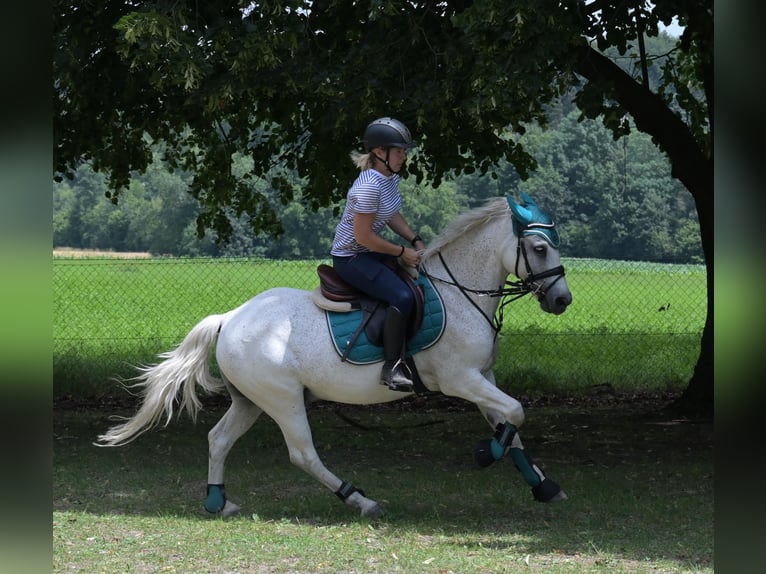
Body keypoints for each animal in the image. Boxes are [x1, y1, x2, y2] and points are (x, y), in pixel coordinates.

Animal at [99, 195, 572, 520]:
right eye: (539, 248)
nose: (562, 300)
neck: (460, 293)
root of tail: (231, 317)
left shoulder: (482, 377)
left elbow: (510, 425)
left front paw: (544, 487)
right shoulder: (460, 379)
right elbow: (516, 413)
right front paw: (484, 454)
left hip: (250, 400)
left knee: (219, 439)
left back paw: (219, 502)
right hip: (283, 399)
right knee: (302, 454)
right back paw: (360, 500)